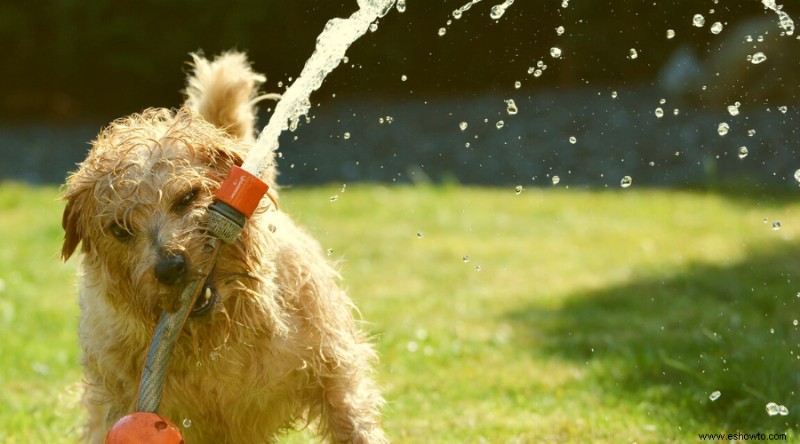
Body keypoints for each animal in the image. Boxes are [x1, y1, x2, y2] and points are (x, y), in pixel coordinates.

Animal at [62, 51, 388, 440]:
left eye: (188, 197)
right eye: (120, 229)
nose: (170, 268)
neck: (218, 337)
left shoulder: (333, 371)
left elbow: (352, 421)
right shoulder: (117, 400)